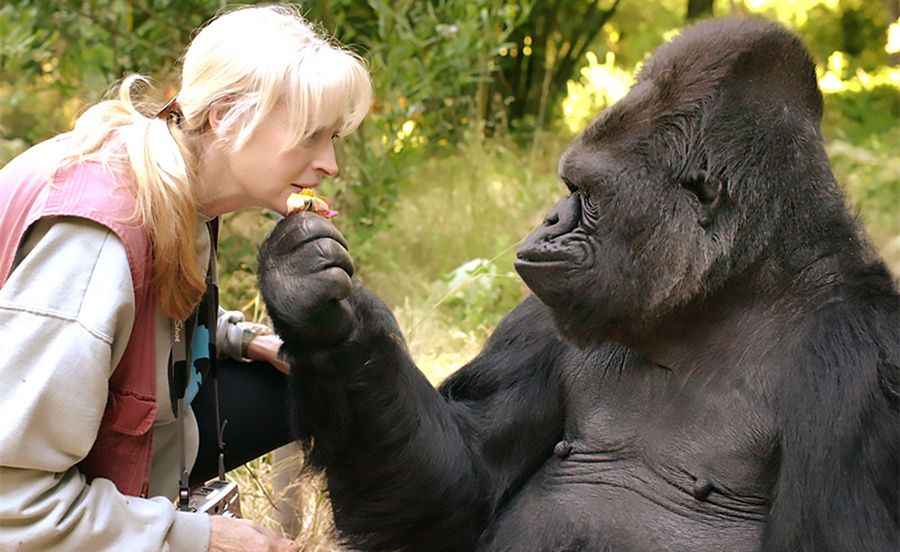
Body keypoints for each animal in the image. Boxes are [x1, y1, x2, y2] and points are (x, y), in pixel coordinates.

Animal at [256, 17, 896, 552]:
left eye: (585, 194)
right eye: (570, 187)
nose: (549, 220)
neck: (726, 293)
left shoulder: (864, 368)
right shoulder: (541, 315)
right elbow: (458, 485)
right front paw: (316, 311)